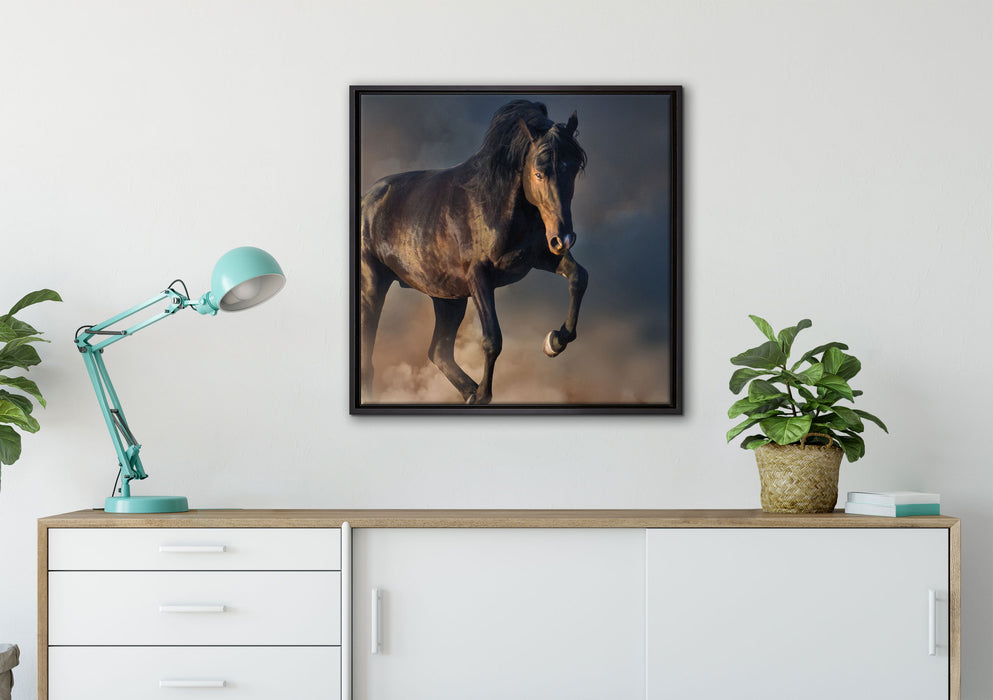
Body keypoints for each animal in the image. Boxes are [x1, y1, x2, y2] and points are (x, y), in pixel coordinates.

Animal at [359, 99, 589, 404]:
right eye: (538, 173)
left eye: (573, 168)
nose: (564, 238)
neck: (494, 205)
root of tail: (366, 201)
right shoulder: (479, 277)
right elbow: (492, 339)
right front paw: (483, 395)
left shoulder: (541, 257)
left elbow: (579, 277)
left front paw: (554, 341)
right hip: (373, 288)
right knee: (370, 360)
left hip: (448, 298)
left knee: (439, 351)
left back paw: (467, 392)